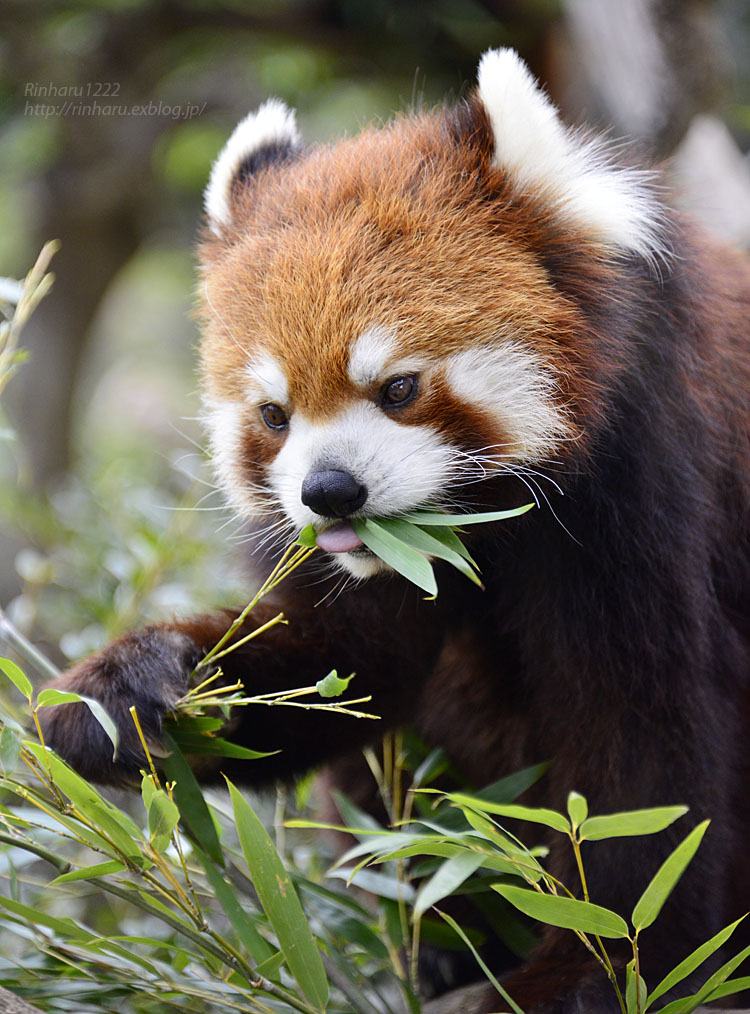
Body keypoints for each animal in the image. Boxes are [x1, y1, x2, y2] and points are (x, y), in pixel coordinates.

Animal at [42, 49, 750, 1014]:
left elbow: (647, 752)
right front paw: (122, 691)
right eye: (274, 415)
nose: (331, 492)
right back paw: (439, 934)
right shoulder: (368, 571)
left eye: (399, 388)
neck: (476, 531)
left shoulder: (644, 488)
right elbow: (348, 667)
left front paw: (604, 964)